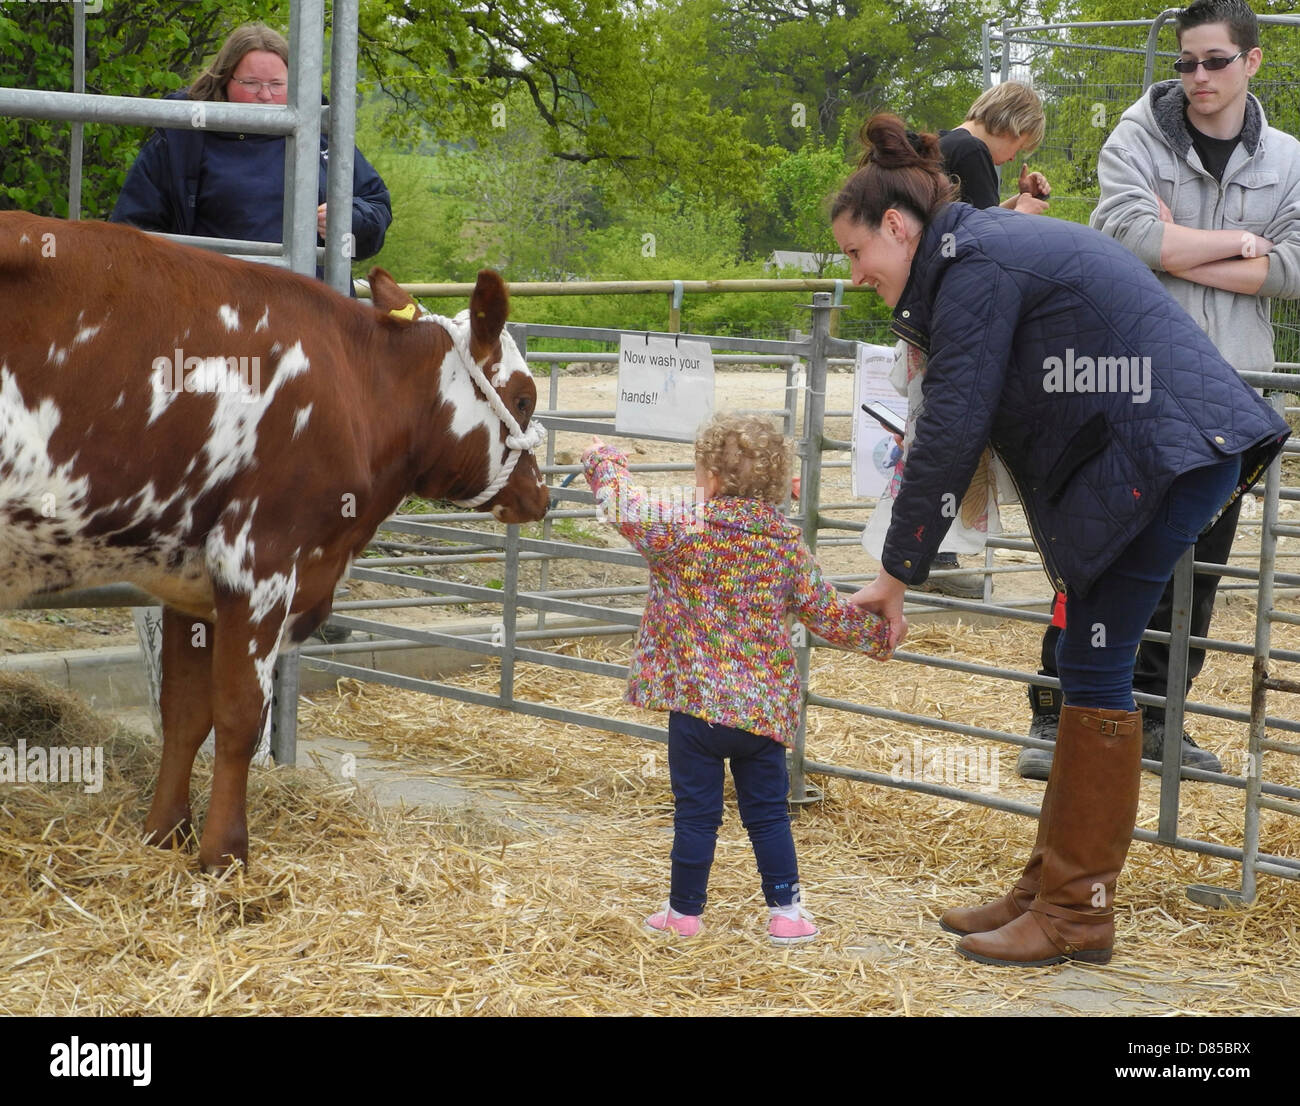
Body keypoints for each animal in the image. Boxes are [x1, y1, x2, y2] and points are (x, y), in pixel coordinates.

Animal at [0, 211, 548, 873]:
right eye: (523, 397)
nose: (539, 496)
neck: (354, 388)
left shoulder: (187, 582)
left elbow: (185, 713)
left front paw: (164, 833)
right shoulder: (258, 559)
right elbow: (240, 716)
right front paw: (225, 855)